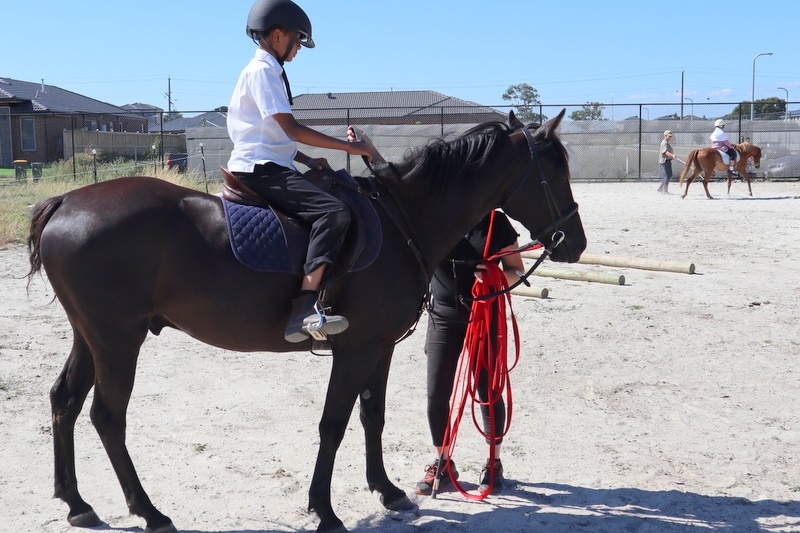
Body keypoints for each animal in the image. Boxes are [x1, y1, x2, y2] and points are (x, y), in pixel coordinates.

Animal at [26, 110, 588, 528]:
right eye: (556, 169)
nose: (575, 243)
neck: (402, 219)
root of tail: (65, 201)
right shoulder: (356, 349)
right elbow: (333, 423)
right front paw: (325, 510)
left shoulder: (379, 347)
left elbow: (372, 416)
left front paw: (386, 490)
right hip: (118, 341)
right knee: (107, 417)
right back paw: (149, 511)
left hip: (91, 337)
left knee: (64, 401)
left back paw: (77, 504)